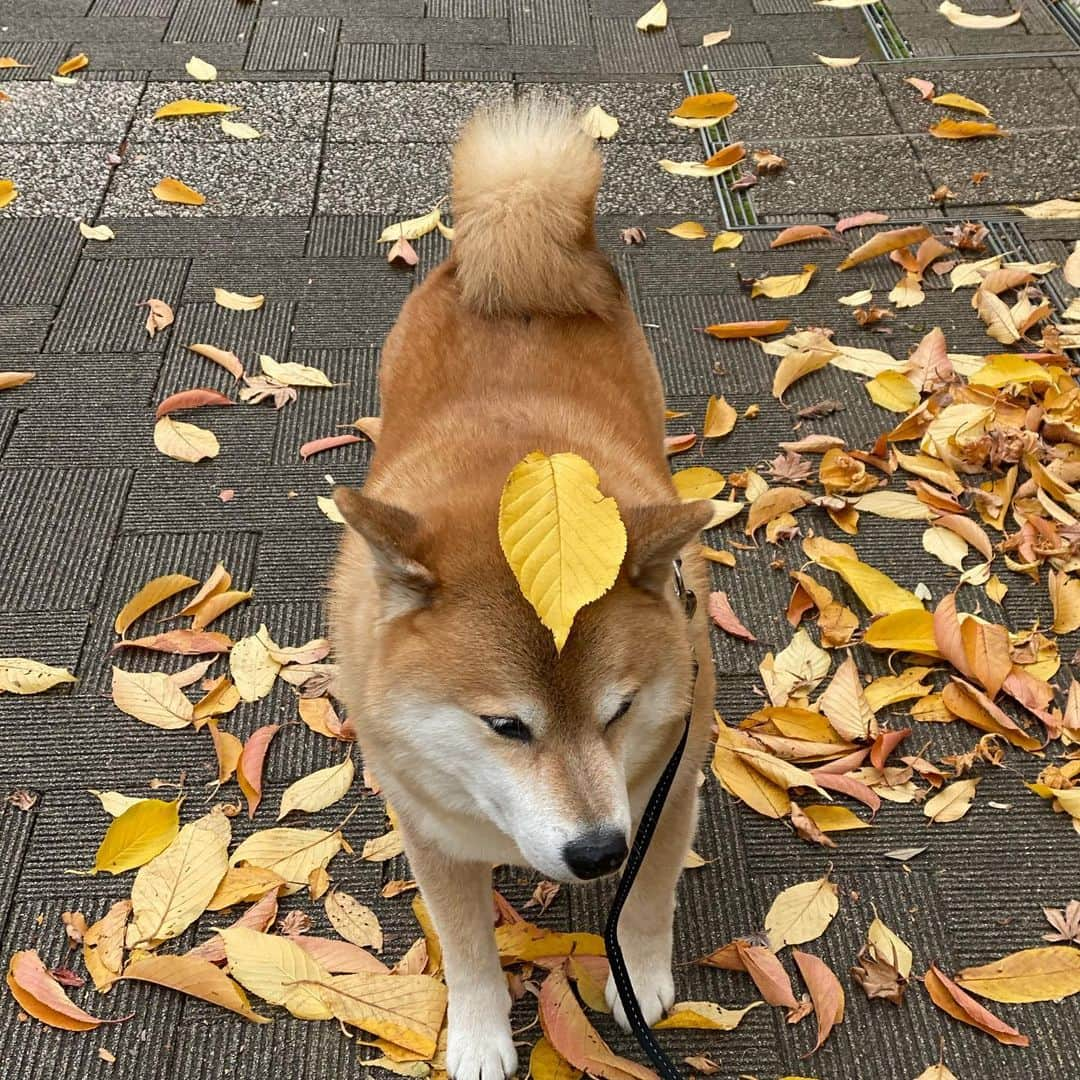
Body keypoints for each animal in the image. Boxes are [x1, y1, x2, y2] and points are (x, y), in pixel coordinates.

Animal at [328, 101, 717, 1080]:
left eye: (620, 712)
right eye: (505, 726)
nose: (598, 850)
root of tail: (513, 251)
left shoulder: (668, 792)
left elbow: (647, 905)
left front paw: (638, 980)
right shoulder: (429, 831)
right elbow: (466, 947)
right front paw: (476, 1035)